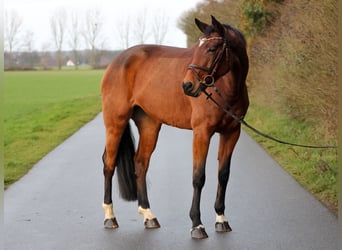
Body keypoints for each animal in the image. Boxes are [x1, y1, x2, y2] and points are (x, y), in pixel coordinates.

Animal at [100, 15, 247, 238]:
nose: (187, 85)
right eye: (196, 48)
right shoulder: (202, 133)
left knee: (140, 163)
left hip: (149, 125)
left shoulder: (232, 133)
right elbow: (198, 177)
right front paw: (197, 224)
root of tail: (117, 61)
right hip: (115, 122)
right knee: (109, 164)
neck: (225, 90)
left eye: (212, 48)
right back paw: (110, 217)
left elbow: (223, 175)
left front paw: (221, 219)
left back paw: (148, 216)